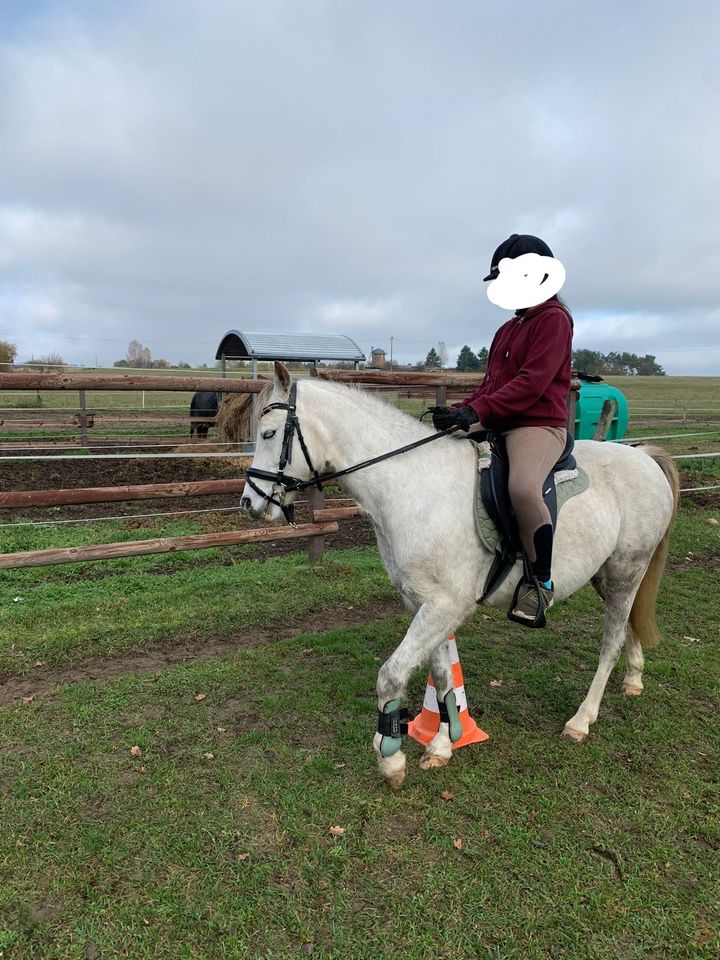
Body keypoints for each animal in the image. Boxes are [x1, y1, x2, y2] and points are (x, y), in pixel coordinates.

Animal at [242, 364, 680, 792]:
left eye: (269, 433)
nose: (249, 503)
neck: (411, 484)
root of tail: (643, 457)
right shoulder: (422, 602)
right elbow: (440, 675)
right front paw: (442, 742)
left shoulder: (446, 605)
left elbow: (391, 676)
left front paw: (391, 758)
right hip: (607, 576)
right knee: (627, 625)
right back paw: (634, 679)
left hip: (626, 569)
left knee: (610, 642)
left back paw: (581, 720)